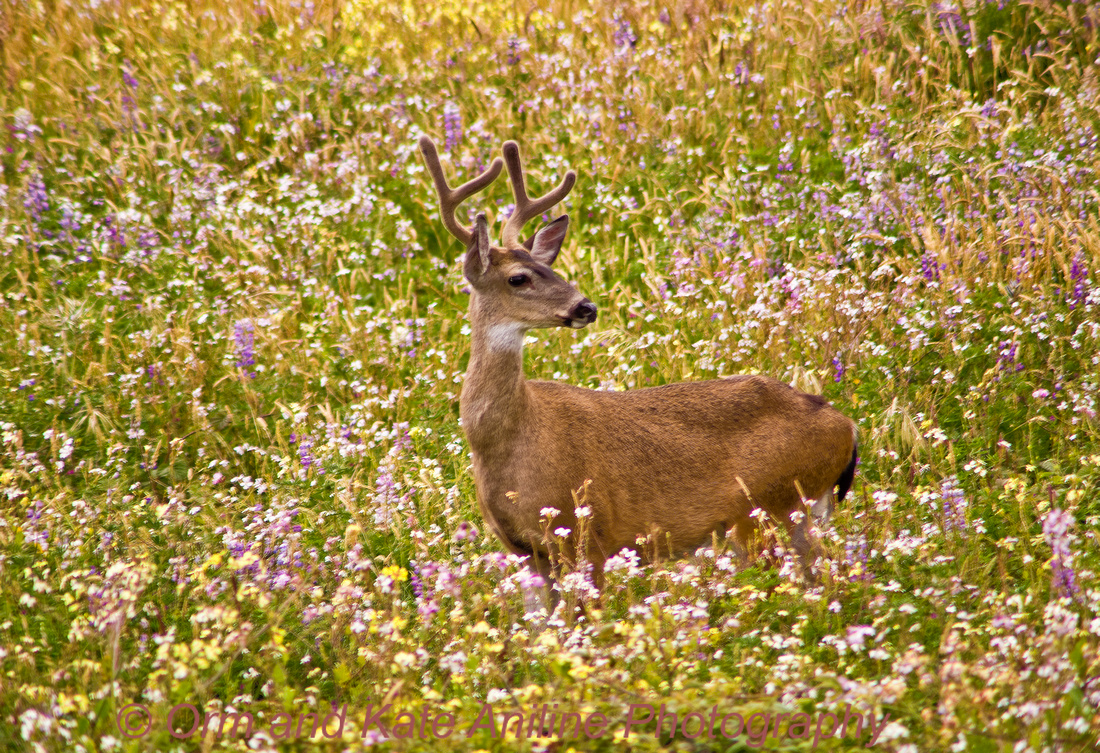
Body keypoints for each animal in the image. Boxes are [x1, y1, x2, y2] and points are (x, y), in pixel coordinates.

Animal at [415, 133, 853, 606]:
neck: (510, 441)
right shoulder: (522, 550)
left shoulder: (588, 532)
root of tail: (847, 427)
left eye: (549, 266)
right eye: (518, 278)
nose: (585, 307)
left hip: (771, 509)